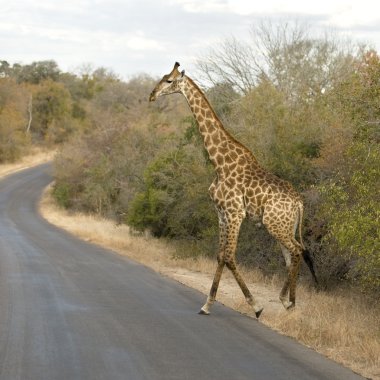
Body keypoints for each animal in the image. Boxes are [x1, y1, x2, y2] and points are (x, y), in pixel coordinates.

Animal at [149, 62, 318, 318]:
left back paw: (289, 303)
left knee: (297, 251)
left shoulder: (235, 213)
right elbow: (220, 256)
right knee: (293, 254)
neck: (219, 163)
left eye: (169, 80)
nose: (152, 95)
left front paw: (256, 306)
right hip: (285, 226)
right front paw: (207, 304)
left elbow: (229, 257)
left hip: (275, 224)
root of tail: (299, 202)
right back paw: (288, 301)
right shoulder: (221, 214)